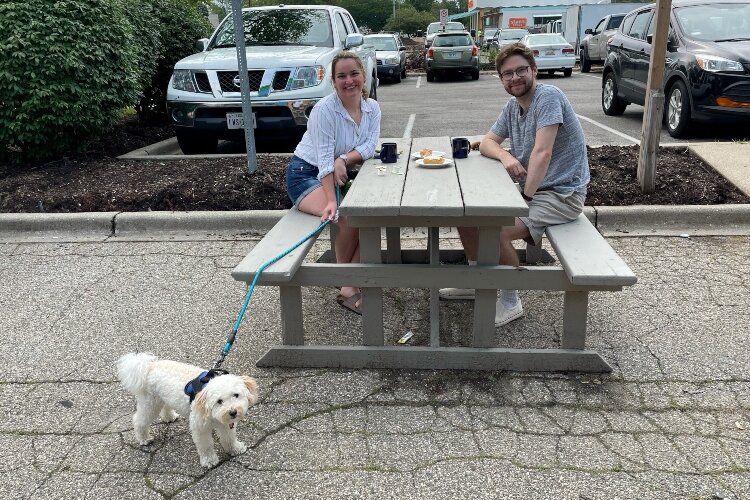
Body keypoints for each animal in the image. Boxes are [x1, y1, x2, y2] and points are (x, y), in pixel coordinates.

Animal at [116, 354, 260, 466]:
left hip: (163, 398)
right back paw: (144, 438)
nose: (233, 412)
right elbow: (206, 445)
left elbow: (229, 438)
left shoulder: (225, 425)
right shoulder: (200, 428)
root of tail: (149, 366)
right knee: (139, 420)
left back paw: (169, 417)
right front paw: (209, 460)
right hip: (150, 404)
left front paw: (235, 449)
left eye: (236, 395)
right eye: (219, 401)